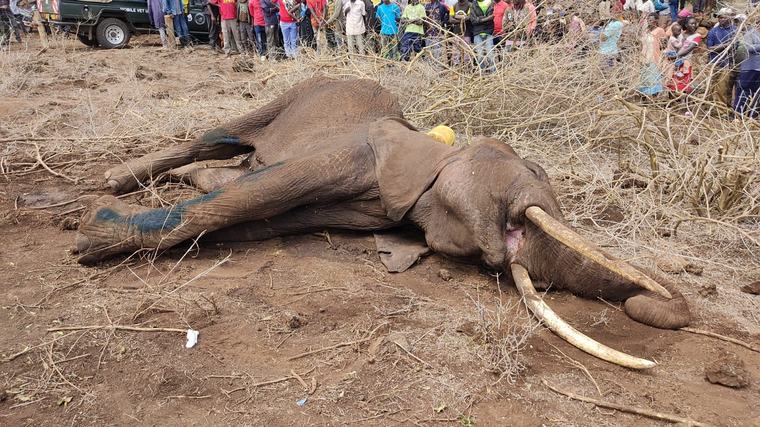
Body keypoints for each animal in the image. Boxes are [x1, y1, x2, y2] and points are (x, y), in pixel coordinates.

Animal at [74, 77, 690, 369]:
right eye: (534, 171)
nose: (646, 306)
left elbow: (255, 219)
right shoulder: (353, 158)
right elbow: (252, 195)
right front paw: (90, 238)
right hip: (299, 89)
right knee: (219, 134)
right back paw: (116, 178)